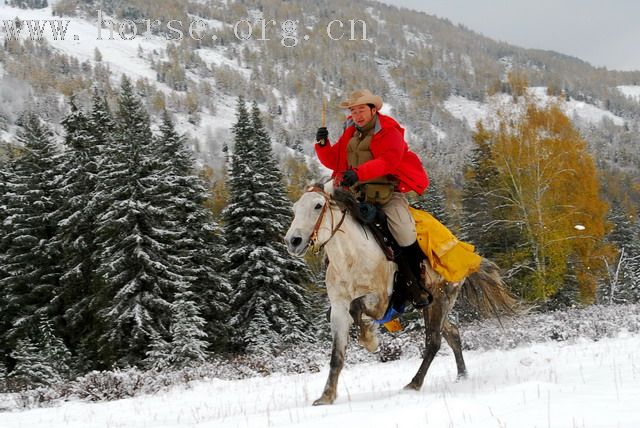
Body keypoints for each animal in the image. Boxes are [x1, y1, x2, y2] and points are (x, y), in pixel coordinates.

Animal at [284, 182, 516, 406]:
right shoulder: (339, 311)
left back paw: (414, 383)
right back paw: (461, 375)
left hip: (443, 298)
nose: (293, 241)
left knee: (434, 341)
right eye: (295, 209)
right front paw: (326, 396)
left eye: (317, 205)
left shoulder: (380, 302)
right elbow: (336, 356)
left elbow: (357, 308)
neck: (351, 259)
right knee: (452, 334)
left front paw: (369, 339)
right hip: (430, 305)